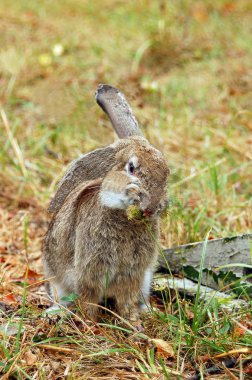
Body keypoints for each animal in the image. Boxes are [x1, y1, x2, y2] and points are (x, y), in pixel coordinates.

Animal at [42, 85, 169, 320]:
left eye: (166, 172)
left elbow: (126, 300)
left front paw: (133, 321)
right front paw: (90, 322)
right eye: (131, 168)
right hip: (58, 282)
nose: (151, 207)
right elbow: (89, 299)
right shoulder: (91, 270)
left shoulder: (133, 273)